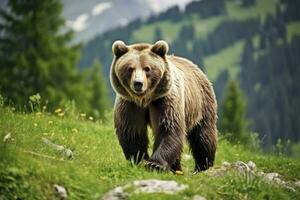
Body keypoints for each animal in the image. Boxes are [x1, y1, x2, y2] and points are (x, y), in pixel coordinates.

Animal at [109, 39, 217, 173]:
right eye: (130, 68)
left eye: (147, 68)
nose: (138, 83)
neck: (145, 99)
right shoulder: (130, 104)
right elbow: (132, 132)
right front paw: (140, 160)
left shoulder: (164, 101)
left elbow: (168, 129)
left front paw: (155, 164)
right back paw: (176, 168)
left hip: (201, 103)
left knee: (203, 135)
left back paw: (203, 165)